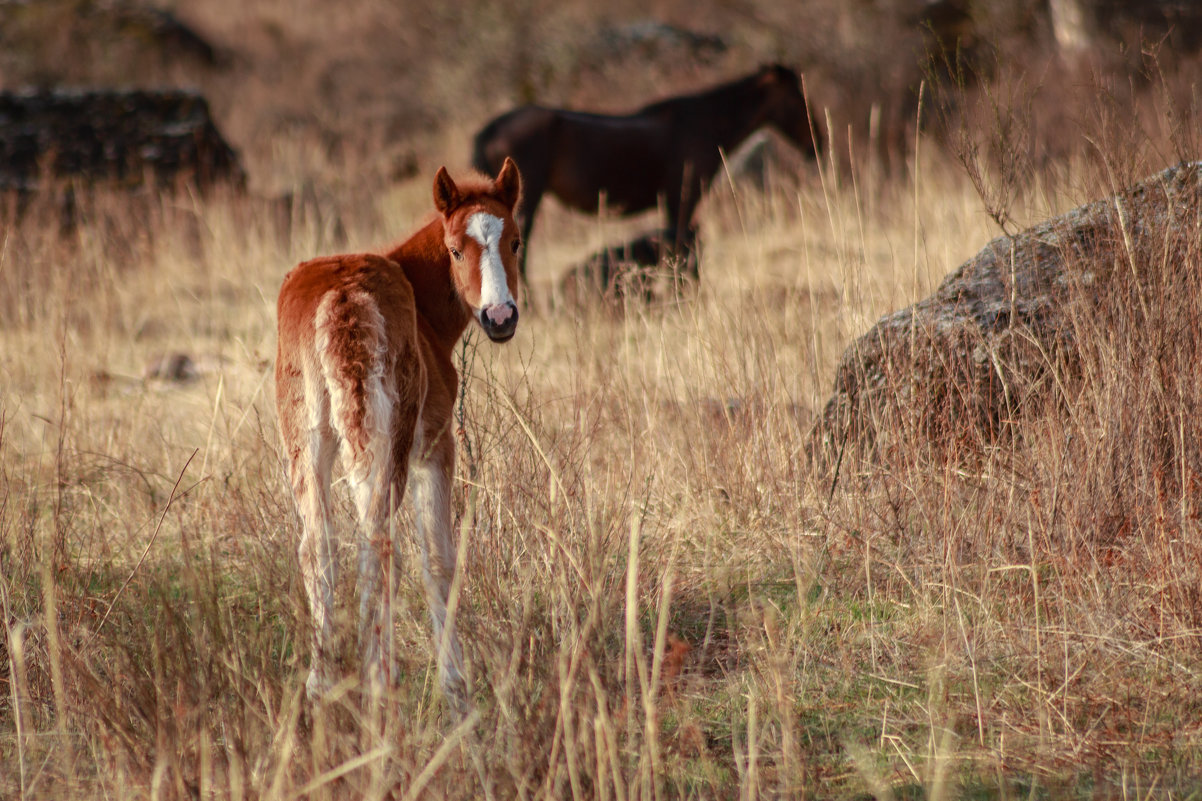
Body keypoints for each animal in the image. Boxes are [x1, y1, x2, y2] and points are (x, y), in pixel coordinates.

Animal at [276, 157, 521, 712]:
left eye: (515, 241)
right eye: (455, 249)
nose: (500, 317)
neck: (429, 319)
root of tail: (340, 296)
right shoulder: (435, 446)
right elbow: (440, 559)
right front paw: (456, 687)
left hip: (306, 439)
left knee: (318, 546)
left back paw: (320, 684)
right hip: (394, 435)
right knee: (379, 543)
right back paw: (380, 680)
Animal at [473, 64, 822, 279]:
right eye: (797, 98)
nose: (818, 141)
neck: (705, 123)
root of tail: (492, 127)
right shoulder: (681, 198)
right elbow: (680, 248)